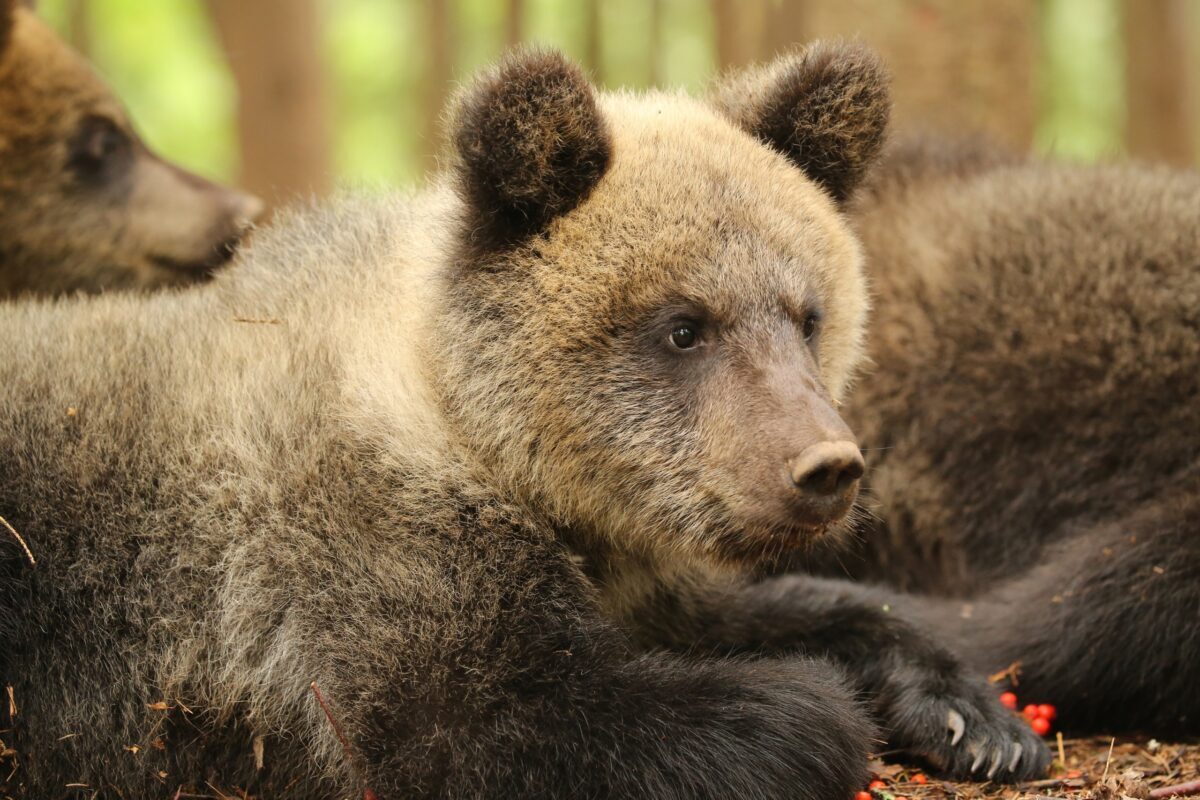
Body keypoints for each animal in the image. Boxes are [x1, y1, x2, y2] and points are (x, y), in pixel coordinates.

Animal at [0, 47, 1046, 796]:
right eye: (683, 326)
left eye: (808, 314)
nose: (825, 466)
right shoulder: (347, 557)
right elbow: (490, 724)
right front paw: (821, 715)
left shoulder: (632, 560)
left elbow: (787, 608)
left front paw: (971, 714)